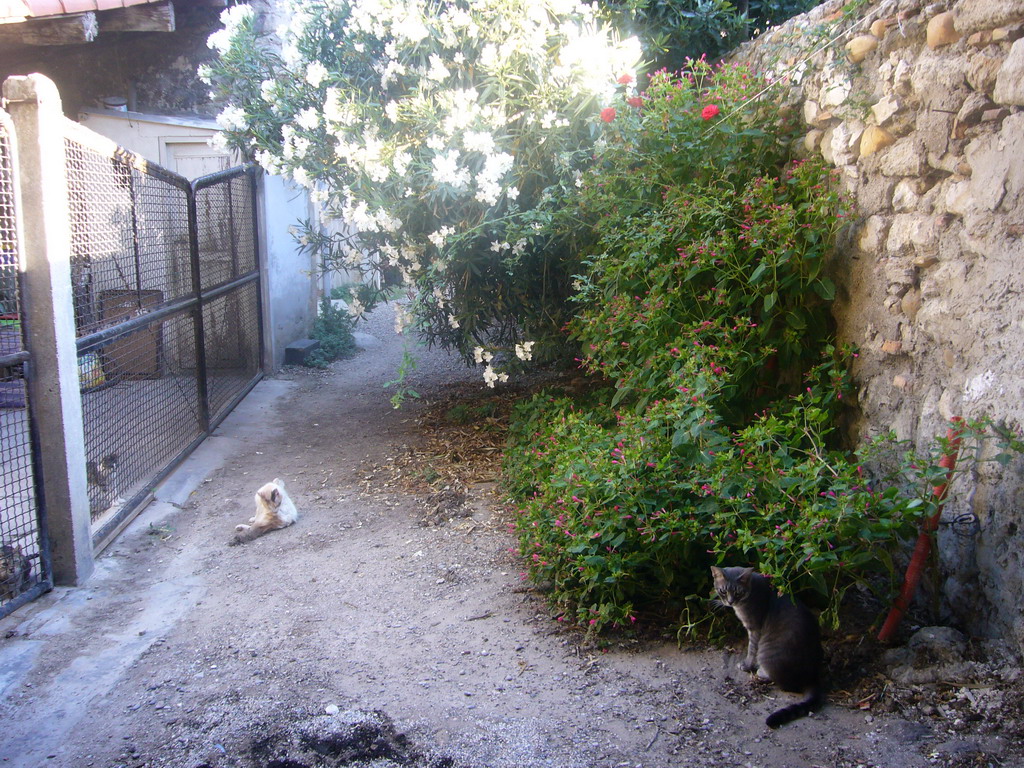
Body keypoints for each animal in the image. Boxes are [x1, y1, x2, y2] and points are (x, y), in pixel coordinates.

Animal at [712, 565, 823, 729]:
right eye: (723, 591)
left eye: (738, 592)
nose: (730, 602)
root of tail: (813, 676)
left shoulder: (754, 628)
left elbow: (751, 650)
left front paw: (746, 665)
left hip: (768, 653)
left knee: (785, 683)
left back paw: (761, 673)